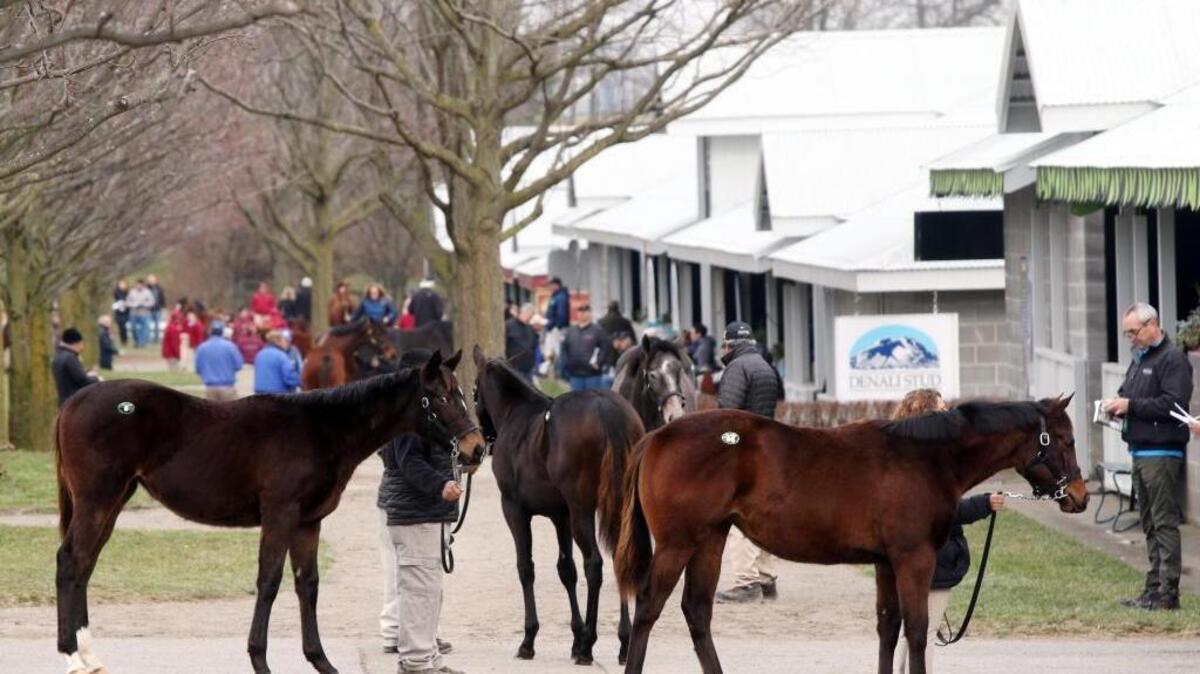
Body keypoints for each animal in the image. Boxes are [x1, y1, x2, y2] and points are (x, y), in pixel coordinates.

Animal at [54, 351, 485, 674]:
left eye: (463, 394)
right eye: (440, 398)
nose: (476, 449)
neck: (319, 431)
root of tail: (73, 401)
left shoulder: (308, 523)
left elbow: (307, 584)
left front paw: (321, 661)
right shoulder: (280, 515)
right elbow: (270, 581)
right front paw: (260, 660)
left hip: (113, 501)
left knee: (86, 564)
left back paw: (89, 654)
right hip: (97, 499)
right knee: (71, 561)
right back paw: (72, 656)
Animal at [472, 346, 645, 665]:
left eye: (475, 389)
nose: (481, 441)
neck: (518, 416)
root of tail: (606, 408)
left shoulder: (515, 510)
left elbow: (526, 567)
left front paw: (530, 639)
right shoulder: (560, 516)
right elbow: (567, 570)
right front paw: (575, 635)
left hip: (582, 511)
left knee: (594, 564)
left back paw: (589, 644)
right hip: (614, 508)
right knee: (622, 558)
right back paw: (624, 642)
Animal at [615, 396, 1089, 674]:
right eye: (1065, 439)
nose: (1079, 497)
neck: (925, 457)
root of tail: (659, 434)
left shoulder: (885, 563)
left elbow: (888, 628)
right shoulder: (913, 558)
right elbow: (917, 630)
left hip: (711, 539)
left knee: (696, 611)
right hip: (678, 544)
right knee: (648, 609)